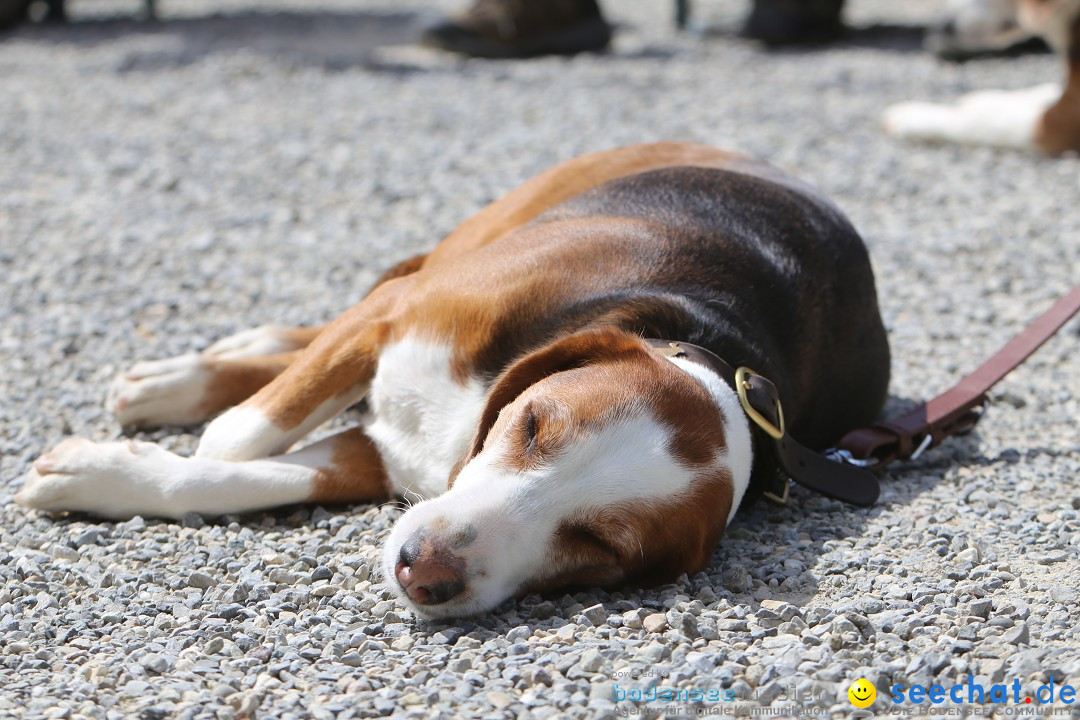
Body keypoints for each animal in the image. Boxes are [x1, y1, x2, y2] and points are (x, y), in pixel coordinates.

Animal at [16, 142, 889, 621]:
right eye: (535, 425)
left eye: (600, 544)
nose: (423, 567)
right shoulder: (397, 318)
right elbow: (238, 440)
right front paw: (159, 448)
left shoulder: (389, 460)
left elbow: (245, 475)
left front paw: (106, 475)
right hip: (471, 237)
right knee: (337, 319)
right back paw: (184, 377)